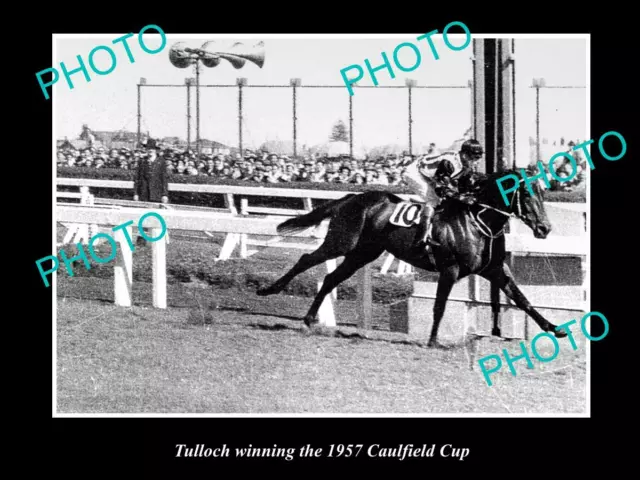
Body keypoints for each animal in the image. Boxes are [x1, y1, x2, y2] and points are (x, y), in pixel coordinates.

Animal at [255, 167, 564, 346]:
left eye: (543, 191)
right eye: (526, 193)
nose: (545, 228)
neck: (478, 221)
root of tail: (351, 197)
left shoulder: (494, 269)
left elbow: (523, 300)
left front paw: (555, 328)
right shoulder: (450, 269)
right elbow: (439, 306)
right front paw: (432, 340)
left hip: (362, 254)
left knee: (331, 278)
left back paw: (309, 319)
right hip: (342, 243)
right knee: (306, 259)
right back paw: (268, 289)